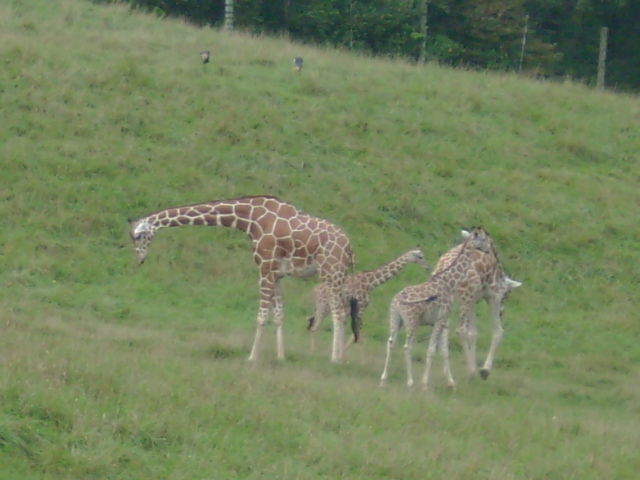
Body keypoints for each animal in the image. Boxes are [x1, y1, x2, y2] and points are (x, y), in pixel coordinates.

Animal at [129, 196, 354, 363]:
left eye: (138, 237)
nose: (139, 260)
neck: (251, 219)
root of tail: (349, 247)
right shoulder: (275, 273)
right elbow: (279, 315)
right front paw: (280, 356)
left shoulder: (264, 268)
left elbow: (262, 316)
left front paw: (252, 357)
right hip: (340, 276)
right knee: (343, 312)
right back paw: (342, 357)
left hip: (331, 273)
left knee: (338, 313)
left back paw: (334, 359)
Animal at [379, 227, 491, 392]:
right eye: (483, 239)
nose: (488, 250)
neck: (449, 281)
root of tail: (397, 301)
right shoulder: (440, 318)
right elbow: (432, 350)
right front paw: (425, 384)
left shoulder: (440, 321)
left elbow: (443, 350)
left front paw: (451, 382)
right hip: (412, 322)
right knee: (407, 346)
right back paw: (410, 382)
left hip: (395, 320)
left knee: (391, 343)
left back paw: (384, 380)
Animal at [432, 229, 521, 380]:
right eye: (506, 295)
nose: (502, 312)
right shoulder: (493, 296)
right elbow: (498, 331)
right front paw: (484, 370)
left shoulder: (473, 300)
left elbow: (473, 333)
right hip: (465, 298)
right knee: (460, 330)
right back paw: (471, 371)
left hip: (448, 301)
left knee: (443, 332)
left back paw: (449, 375)